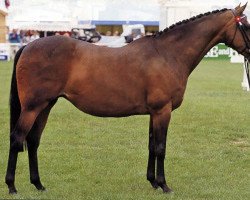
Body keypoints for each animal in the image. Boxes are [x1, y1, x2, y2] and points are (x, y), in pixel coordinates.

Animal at [5, 3, 250, 194]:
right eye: (246, 26)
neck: (168, 54)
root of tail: (28, 45)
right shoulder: (163, 111)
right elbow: (161, 147)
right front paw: (164, 185)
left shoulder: (155, 112)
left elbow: (152, 145)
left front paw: (153, 182)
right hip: (32, 107)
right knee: (17, 138)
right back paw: (12, 186)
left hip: (46, 106)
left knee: (33, 141)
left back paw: (38, 185)